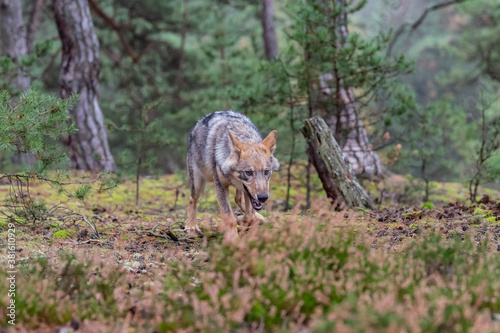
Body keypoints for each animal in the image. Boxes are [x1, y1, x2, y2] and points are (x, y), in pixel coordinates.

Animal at [186, 111, 280, 241]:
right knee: (193, 199)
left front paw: (242, 220)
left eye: (266, 172)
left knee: (238, 199)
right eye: (248, 172)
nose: (263, 197)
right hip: (198, 183)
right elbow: (229, 216)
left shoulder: (249, 194)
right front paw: (232, 239)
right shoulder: (220, 185)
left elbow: (249, 216)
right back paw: (191, 226)